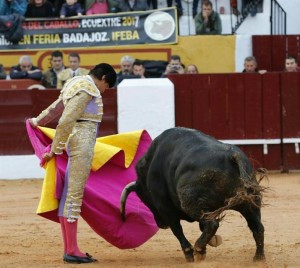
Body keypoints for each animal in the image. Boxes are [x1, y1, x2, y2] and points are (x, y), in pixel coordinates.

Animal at [120, 127, 266, 262]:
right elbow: (201, 227)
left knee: (212, 224)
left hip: (191, 205)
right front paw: (212, 242)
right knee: (257, 227)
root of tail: (232, 155)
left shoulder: (166, 209)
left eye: (145, 199)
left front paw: (190, 254)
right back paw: (258, 258)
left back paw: (199, 249)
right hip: (251, 203)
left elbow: (177, 230)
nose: (161, 224)